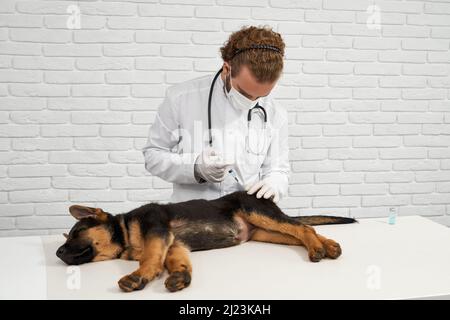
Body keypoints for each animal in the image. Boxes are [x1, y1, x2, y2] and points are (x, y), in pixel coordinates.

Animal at [57, 190, 356, 292]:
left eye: (76, 232)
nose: (58, 253)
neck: (125, 232)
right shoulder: (173, 244)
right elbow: (176, 262)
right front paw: (180, 276)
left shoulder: (157, 230)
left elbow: (150, 257)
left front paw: (139, 275)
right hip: (265, 231)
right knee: (301, 230)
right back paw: (328, 245)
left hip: (259, 213)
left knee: (303, 227)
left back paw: (319, 248)